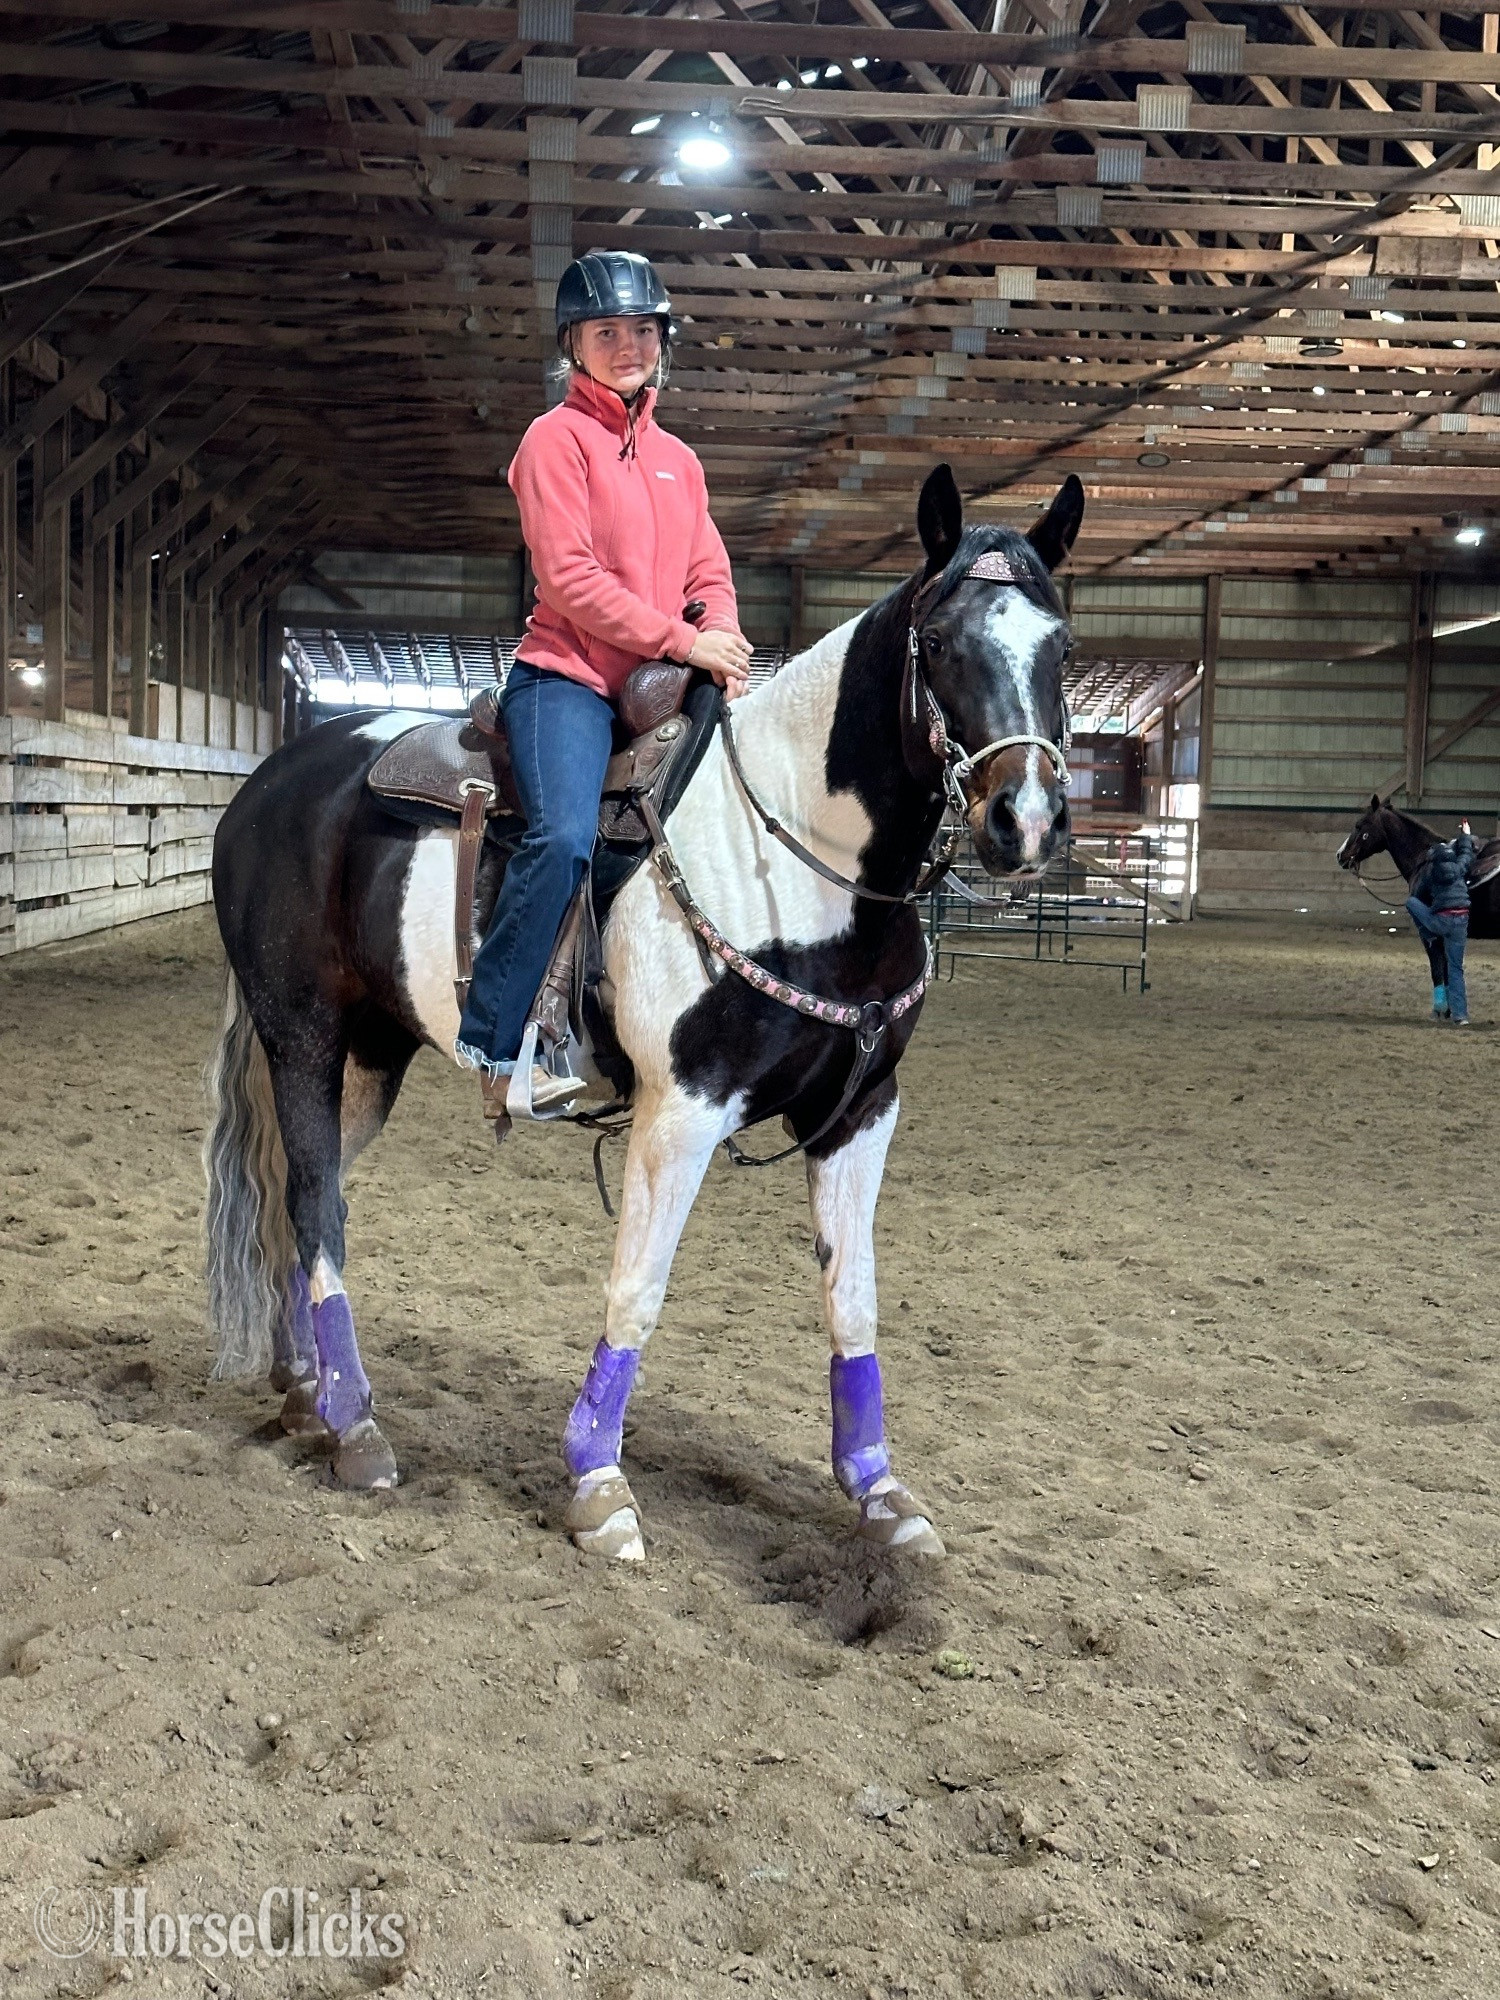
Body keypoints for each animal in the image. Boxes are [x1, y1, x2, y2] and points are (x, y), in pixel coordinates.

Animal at [203, 462, 1083, 1563]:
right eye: (940, 642)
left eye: (1063, 646)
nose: (1027, 821)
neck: (800, 858)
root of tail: (270, 781)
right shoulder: (682, 1109)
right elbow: (639, 1287)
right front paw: (596, 1478)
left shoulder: (862, 1112)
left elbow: (854, 1296)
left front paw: (879, 1489)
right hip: (303, 1039)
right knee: (319, 1206)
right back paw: (357, 1427)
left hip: (370, 1054)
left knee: (297, 1195)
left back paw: (307, 1391)